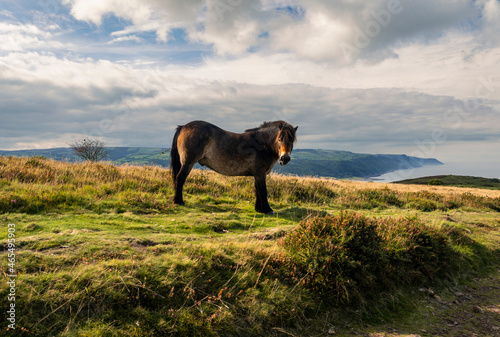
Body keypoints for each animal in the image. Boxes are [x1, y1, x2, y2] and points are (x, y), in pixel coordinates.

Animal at [170, 119, 298, 211]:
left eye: (292, 140)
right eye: (280, 139)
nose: (285, 159)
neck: (261, 144)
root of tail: (184, 126)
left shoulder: (257, 174)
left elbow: (257, 190)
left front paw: (259, 209)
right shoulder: (260, 173)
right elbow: (263, 191)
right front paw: (267, 209)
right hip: (188, 163)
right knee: (180, 178)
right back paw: (179, 201)